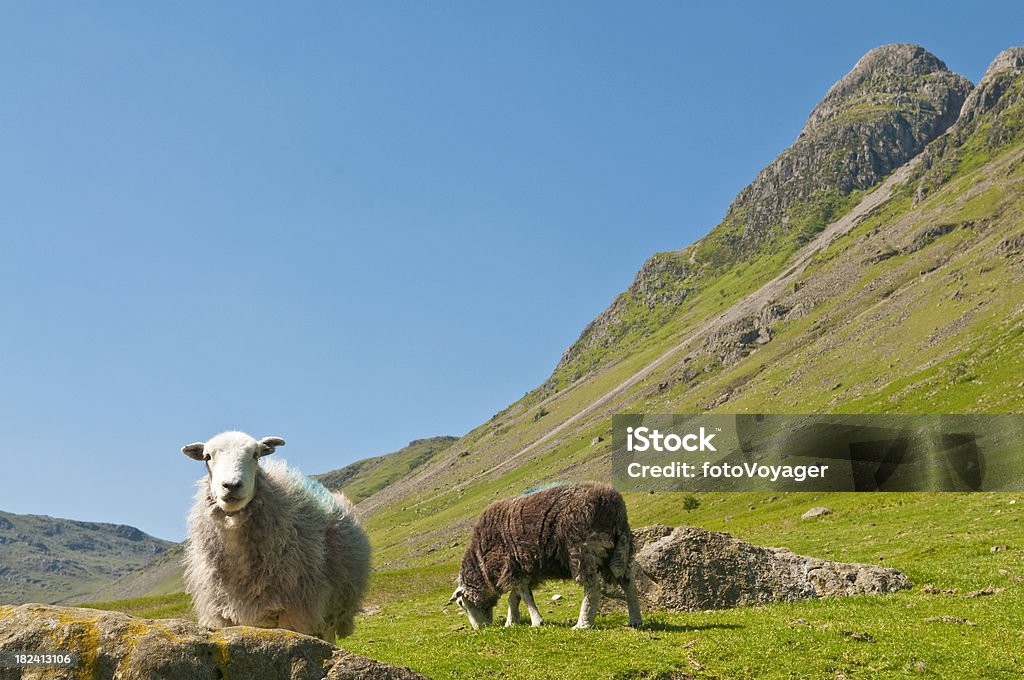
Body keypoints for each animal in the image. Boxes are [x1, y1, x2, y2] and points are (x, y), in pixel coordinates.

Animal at [182, 432, 370, 639]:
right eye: (207, 457)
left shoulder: (295, 612)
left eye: (256, 454)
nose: (231, 486)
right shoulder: (223, 615)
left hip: (331, 610)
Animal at [448, 481, 638, 630]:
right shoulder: (520, 572)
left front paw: (536, 621)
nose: (479, 628)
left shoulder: (511, 568)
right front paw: (511, 622)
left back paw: (583, 624)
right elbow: (514, 598)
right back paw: (635, 619)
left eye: (461, 603)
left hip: (582, 549)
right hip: (615, 550)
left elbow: (524, 597)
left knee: (592, 586)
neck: (482, 567)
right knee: (627, 580)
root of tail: (614, 505)